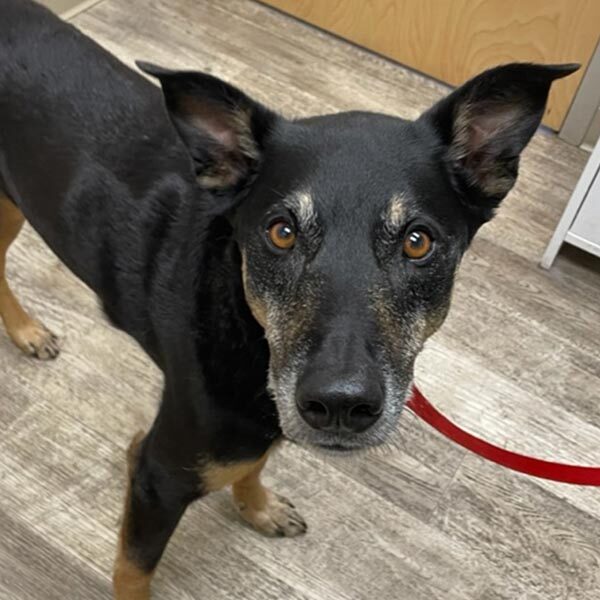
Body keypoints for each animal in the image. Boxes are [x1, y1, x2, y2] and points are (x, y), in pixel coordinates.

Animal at [0, 1, 580, 596]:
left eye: (418, 241)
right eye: (281, 232)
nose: (341, 406)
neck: (246, 328)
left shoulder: (266, 420)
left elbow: (257, 464)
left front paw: (257, 508)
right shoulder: (154, 475)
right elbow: (134, 571)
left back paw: (25, 332)